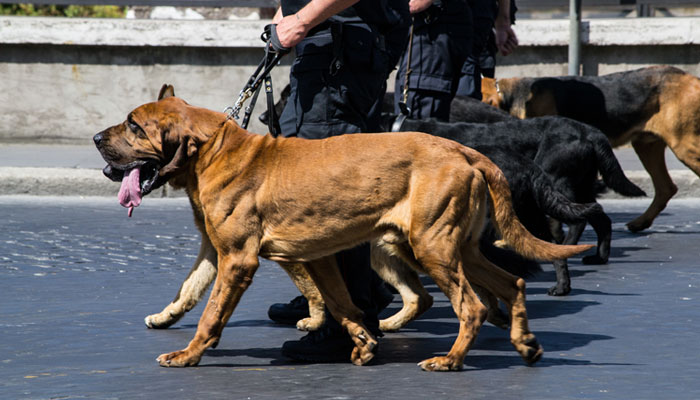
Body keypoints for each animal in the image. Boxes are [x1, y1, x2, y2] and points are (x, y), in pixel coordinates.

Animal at [93, 84, 592, 372]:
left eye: (134, 125)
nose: (96, 138)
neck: (211, 151)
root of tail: (466, 151)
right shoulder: (307, 257)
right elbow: (341, 303)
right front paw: (363, 344)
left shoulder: (237, 260)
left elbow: (212, 313)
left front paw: (189, 354)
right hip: (458, 248)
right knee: (511, 283)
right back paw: (525, 344)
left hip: (432, 247)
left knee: (472, 305)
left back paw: (451, 359)